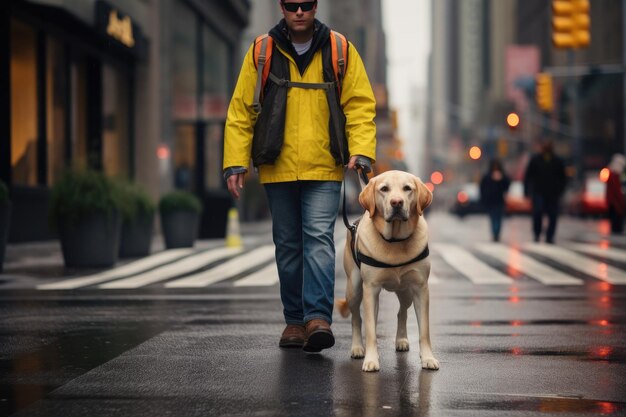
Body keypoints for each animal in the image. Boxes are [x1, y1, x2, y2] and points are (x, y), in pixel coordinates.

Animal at [336, 169, 438, 370]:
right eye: (384, 189)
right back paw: (358, 347)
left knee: (401, 312)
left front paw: (428, 358)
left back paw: (401, 340)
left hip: (406, 291)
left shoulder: (421, 288)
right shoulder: (371, 289)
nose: (396, 202)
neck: (395, 240)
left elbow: (424, 330)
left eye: (407, 188)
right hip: (355, 288)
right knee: (357, 318)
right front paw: (371, 360)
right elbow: (370, 330)